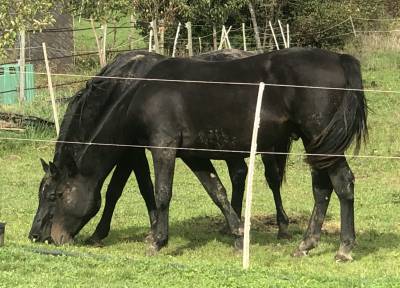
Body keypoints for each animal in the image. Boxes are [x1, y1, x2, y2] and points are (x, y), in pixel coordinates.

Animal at [29, 48, 368, 262]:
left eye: (55, 196)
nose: (42, 236)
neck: (140, 89)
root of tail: (339, 58)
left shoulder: (161, 148)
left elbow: (158, 193)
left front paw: (157, 241)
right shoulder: (193, 156)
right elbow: (216, 191)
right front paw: (237, 234)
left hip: (319, 143)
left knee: (343, 184)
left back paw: (343, 248)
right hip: (315, 145)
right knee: (322, 189)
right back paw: (306, 244)